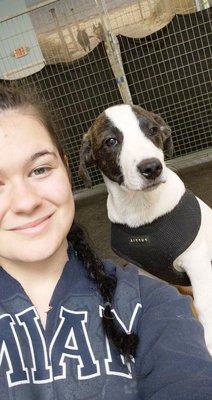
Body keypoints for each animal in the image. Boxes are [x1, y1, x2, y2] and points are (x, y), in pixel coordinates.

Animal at [79, 103, 212, 354]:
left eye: (152, 130)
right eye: (111, 141)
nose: (152, 167)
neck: (142, 209)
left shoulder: (198, 262)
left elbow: (204, 305)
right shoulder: (145, 272)